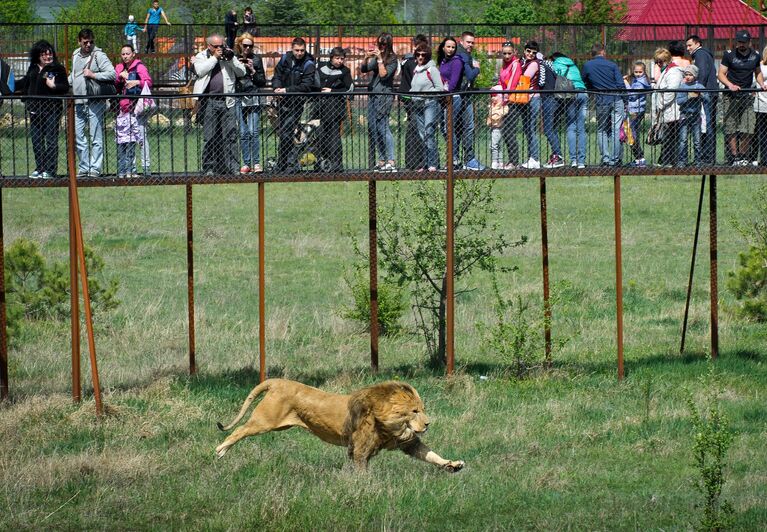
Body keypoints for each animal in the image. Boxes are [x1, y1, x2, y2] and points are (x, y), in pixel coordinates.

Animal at [218, 376, 468, 472]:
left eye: (422, 410)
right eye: (414, 411)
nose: (428, 424)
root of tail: (277, 381)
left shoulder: (406, 441)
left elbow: (430, 454)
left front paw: (453, 464)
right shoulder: (360, 446)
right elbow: (361, 469)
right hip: (265, 420)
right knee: (239, 430)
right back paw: (220, 450)